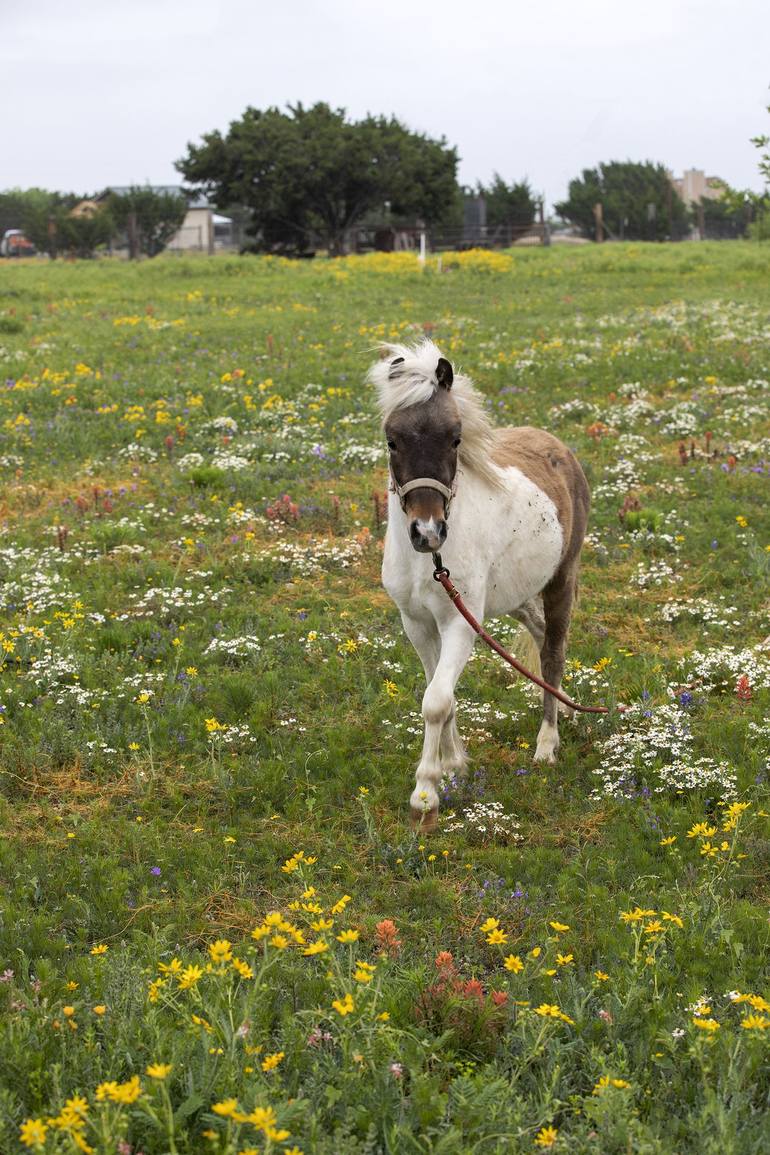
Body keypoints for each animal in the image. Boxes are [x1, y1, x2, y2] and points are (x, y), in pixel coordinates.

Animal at [367, 337, 591, 826]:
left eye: (455, 438)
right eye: (392, 440)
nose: (427, 532)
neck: (431, 563)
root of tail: (557, 446)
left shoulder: (459, 624)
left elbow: (436, 700)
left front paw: (426, 793)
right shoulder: (417, 623)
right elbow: (441, 695)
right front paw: (454, 766)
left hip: (561, 579)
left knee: (553, 651)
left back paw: (547, 744)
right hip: (515, 597)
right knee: (542, 637)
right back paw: (565, 706)